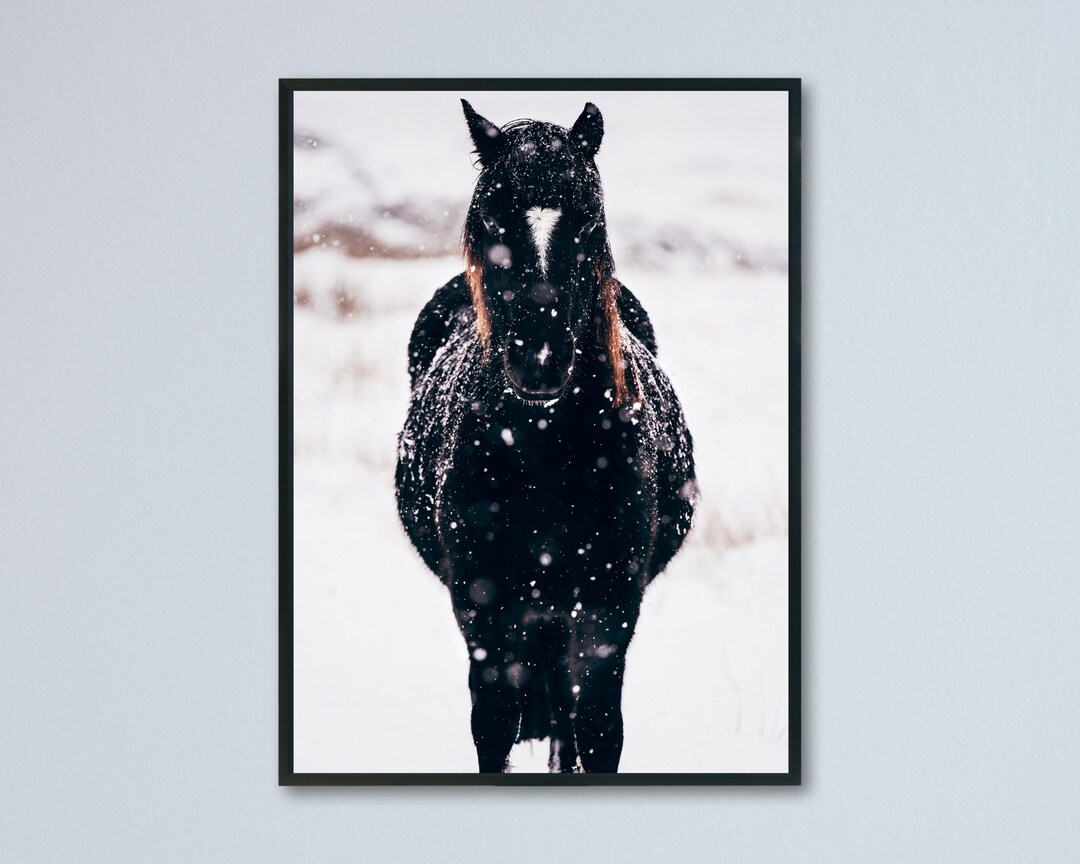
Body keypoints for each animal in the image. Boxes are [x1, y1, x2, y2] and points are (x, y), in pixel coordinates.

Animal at [395, 99, 697, 773]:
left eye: (587, 220)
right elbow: (494, 725)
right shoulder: (484, 611)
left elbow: (599, 729)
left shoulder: (610, 610)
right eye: (490, 218)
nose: (538, 362)